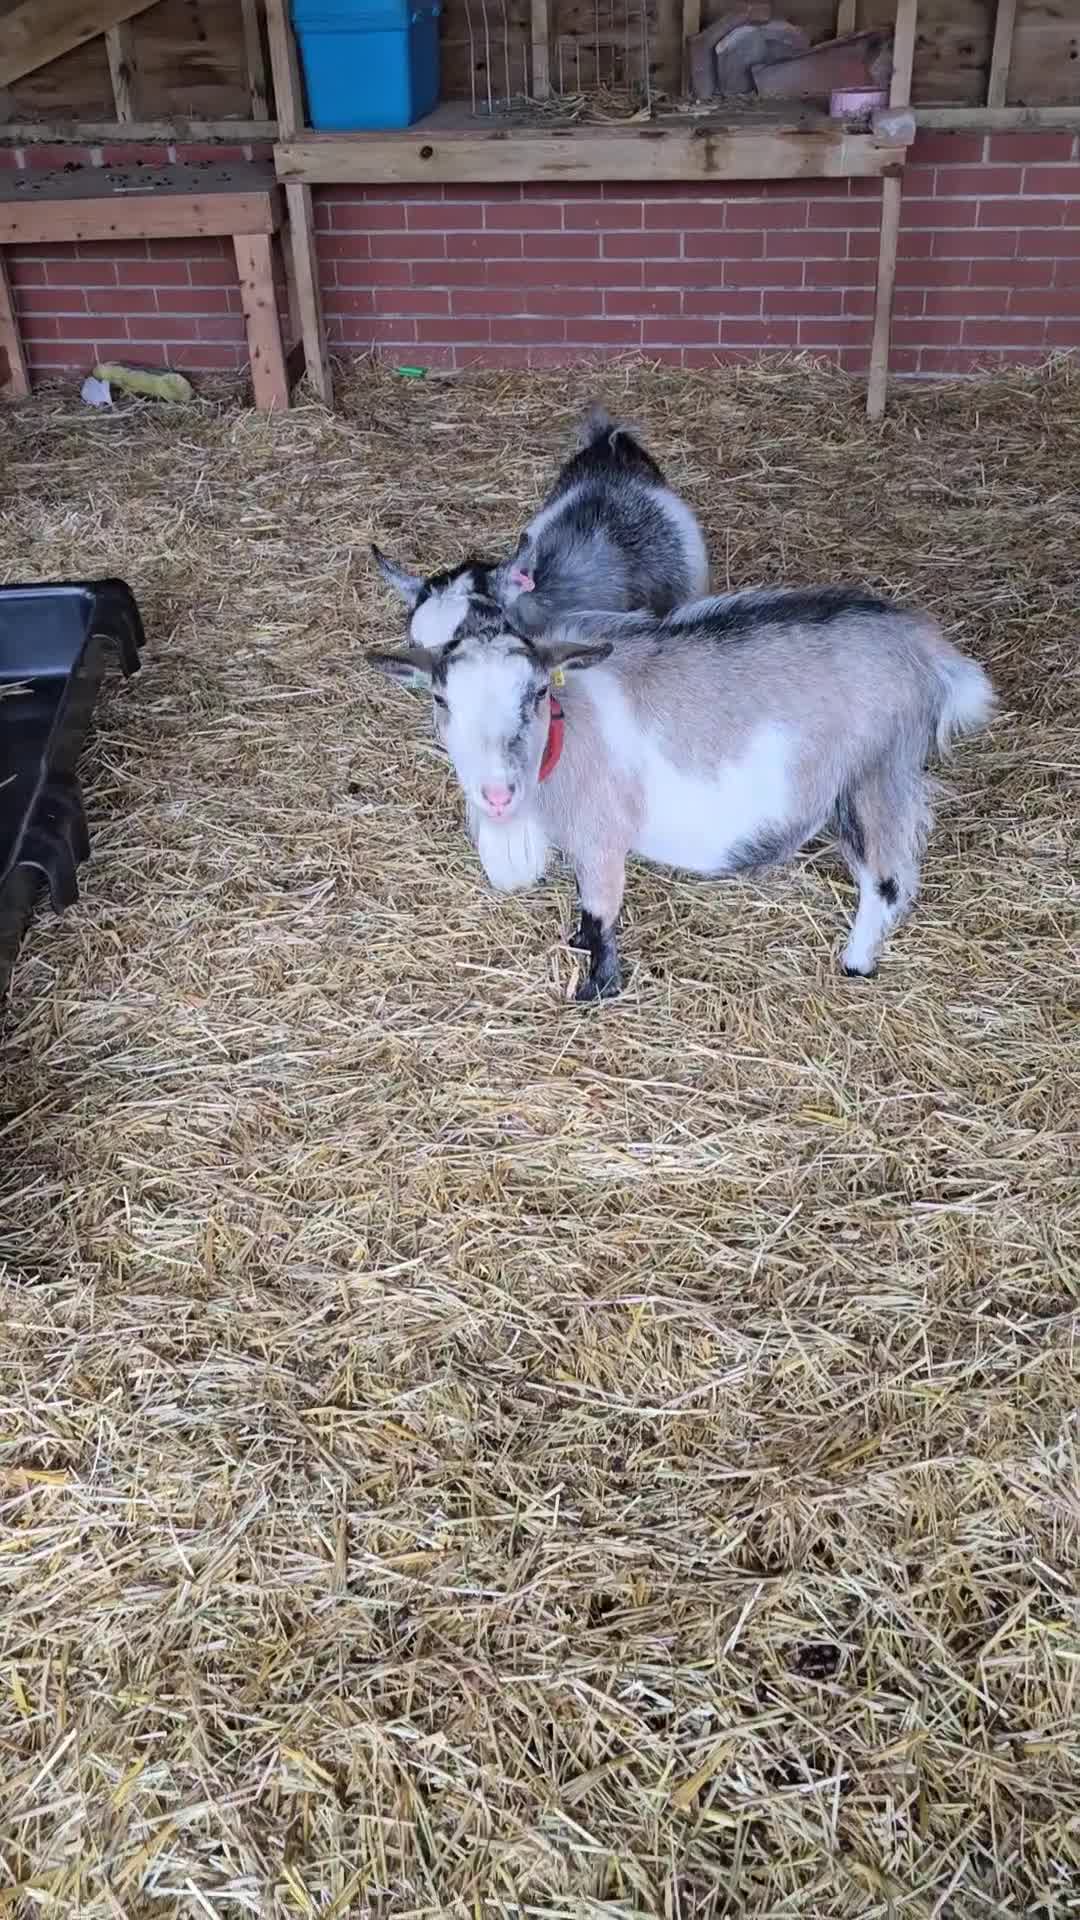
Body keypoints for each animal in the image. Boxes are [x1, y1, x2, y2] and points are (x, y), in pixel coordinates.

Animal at [369, 587, 994, 1001]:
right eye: (442, 700)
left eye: (538, 692)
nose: (497, 794)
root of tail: (929, 652)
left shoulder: (602, 837)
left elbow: (600, 915)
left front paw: (595, 991)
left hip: (876, 776)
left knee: (887, 879)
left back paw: (856, 962)